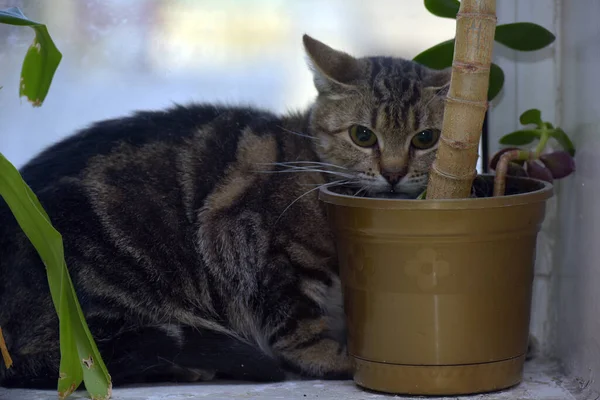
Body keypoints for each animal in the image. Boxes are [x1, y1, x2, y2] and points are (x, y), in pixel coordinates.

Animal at [0, 34, 450, 388]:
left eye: (426, 139)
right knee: (79, 361)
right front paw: (338, 360)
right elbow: (299, 328)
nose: (393, 173)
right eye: (362, 135)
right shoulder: (262, 247)